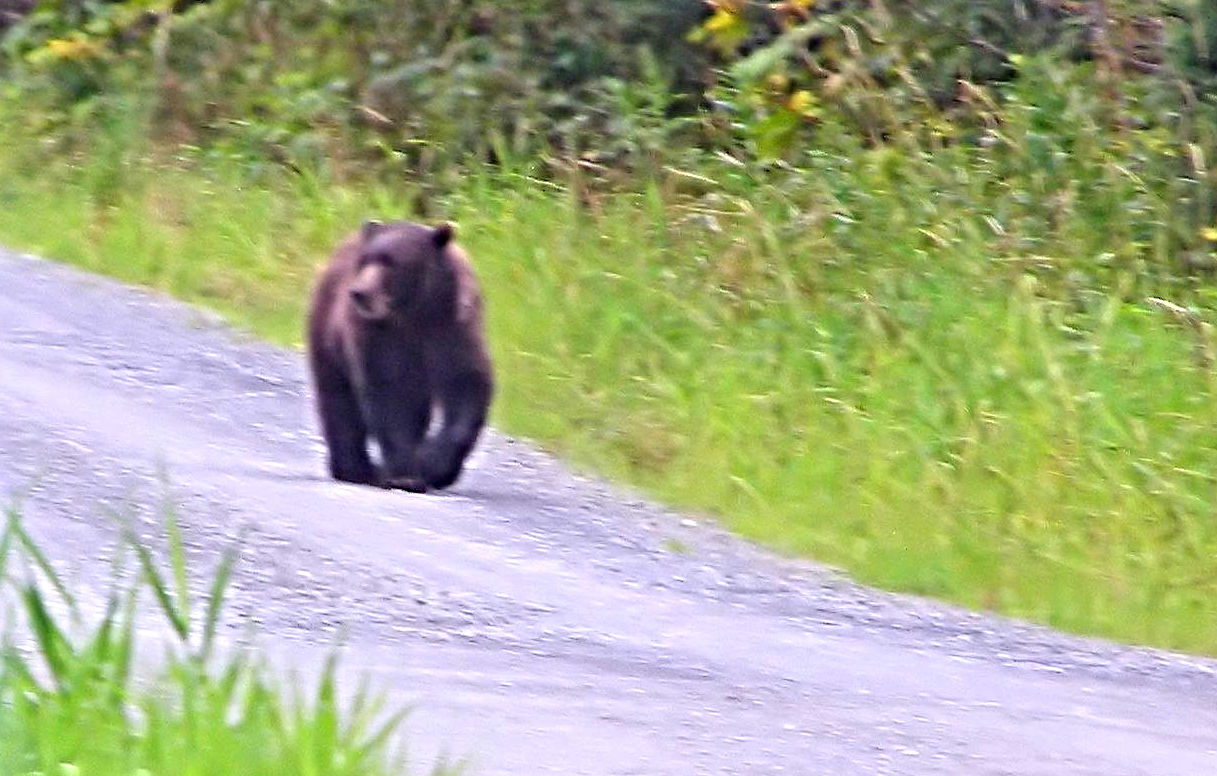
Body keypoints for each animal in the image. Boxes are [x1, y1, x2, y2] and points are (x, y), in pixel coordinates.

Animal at [306, 219, 494, 493]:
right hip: (328, 335)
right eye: (365, 260)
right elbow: (390, 397)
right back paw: (357, 469)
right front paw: (405, 475)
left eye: (391, 262)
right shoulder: (378, 337)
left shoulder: (456, 328)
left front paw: (434, 463)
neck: (416, 312)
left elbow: (467, 386)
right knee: (339, 403)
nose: (359, 292)